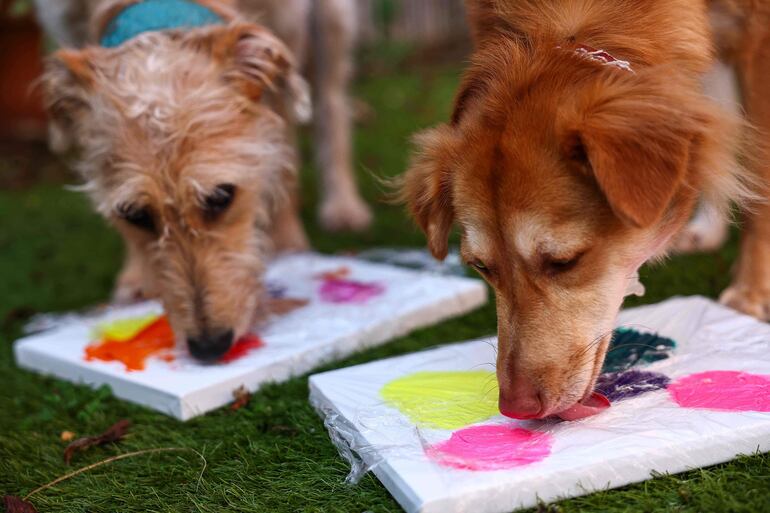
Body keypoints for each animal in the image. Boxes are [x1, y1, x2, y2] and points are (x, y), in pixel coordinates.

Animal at [37, 0, 316, 360]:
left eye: (221, 197)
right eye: (135, 215)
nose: (209, 347)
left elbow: (283, 144)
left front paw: (290, 240)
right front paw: (135, 277)